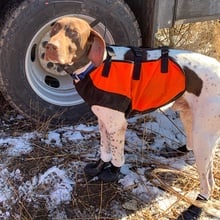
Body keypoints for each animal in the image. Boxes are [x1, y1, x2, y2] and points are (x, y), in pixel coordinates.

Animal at [45, 16, 220, 218]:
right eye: (54, 28)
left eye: (73, 33)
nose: (50, 47)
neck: (96, 66)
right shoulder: (102, 121)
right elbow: (105, 150)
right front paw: (98, 167)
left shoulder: (117, 125)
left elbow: (116, 154)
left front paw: (113, 172)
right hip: (189, 116)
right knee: (190, 143)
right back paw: (176, 151)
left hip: (204, 136)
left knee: (209, 182)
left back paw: (196, 206)